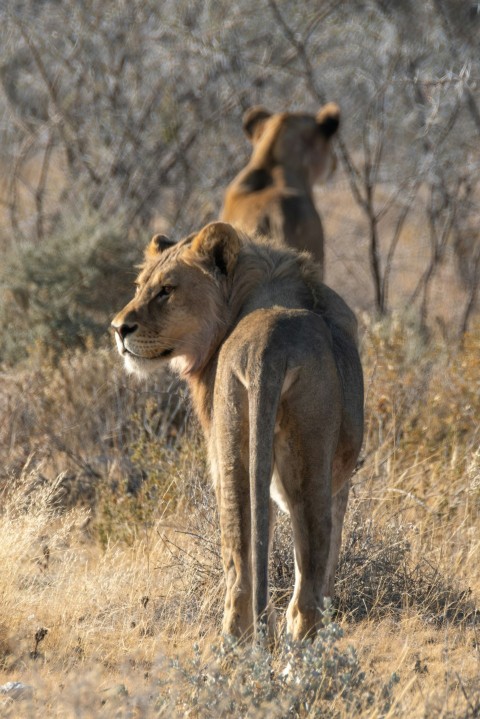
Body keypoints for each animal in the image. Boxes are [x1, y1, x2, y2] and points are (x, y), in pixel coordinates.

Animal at [110, 221, 362, 640]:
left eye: (167, 289)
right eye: (140, 285)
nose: (118, 329)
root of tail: (270, 345)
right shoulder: (339, 479)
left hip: (230, 451)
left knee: (240, 567)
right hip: (305, 459)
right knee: (305, 583)